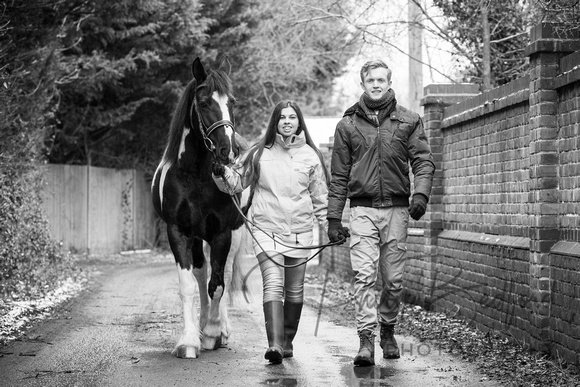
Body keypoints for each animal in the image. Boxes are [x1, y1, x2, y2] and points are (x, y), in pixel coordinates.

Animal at [152, 56, 249, 360]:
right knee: (201, 272)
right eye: (204, 102)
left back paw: (219, 330)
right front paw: (189, 341)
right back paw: (202, 326)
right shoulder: (179, 232)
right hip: (197, 237)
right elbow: (189, 286)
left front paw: (214, 333)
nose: (227, 150)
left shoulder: (222, 233)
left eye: (233, 102)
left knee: (223, 275)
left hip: (235, 234)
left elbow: (217, 285)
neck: (195, 176)